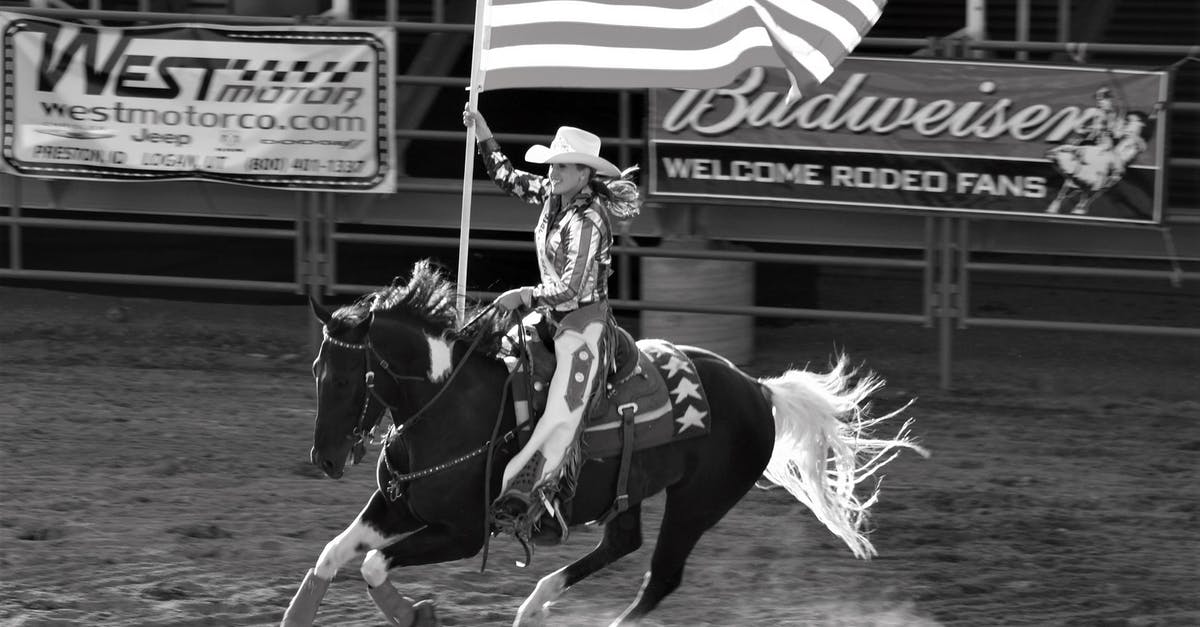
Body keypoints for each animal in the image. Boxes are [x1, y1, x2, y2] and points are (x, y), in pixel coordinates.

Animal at [280, 258, 926, 624]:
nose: (325, 459)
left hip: (698, 502)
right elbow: (332, 555)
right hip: (633, 491)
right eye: (315, 370)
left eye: (346, 379)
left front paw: (420, 613)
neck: (450, 405)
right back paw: (535, 604)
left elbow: (373, 566)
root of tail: (755, 389)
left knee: (659, 577)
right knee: (622, 543)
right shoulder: (397, 507)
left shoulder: (462, 533)